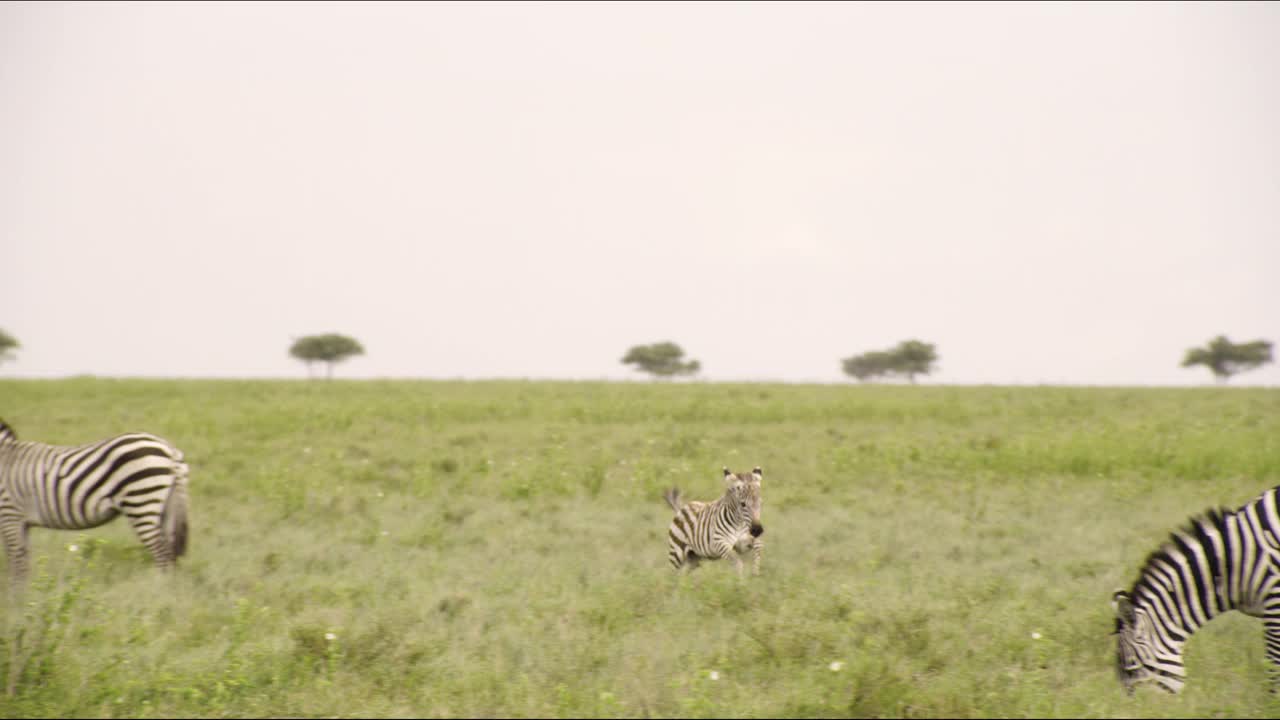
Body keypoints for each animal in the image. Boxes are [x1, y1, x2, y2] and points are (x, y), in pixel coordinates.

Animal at [0, 417, 189, 579]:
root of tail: (169, 449)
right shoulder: (20, 522)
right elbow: (22, 564)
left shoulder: (10, 516)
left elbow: (16, 565)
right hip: (166, 508)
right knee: (171, 554)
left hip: (141, 502)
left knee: (162, 555)